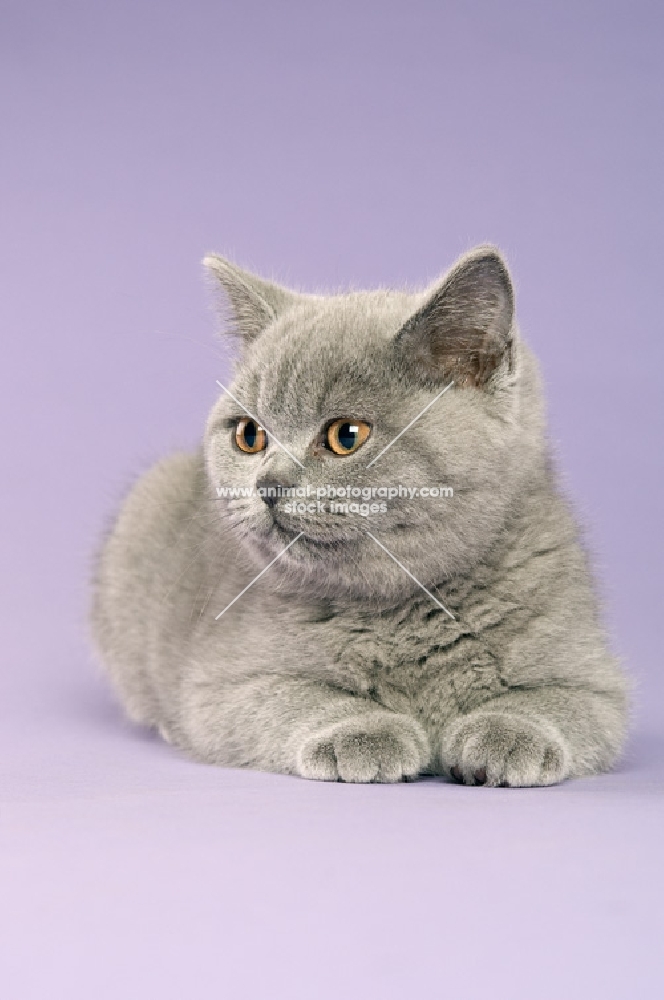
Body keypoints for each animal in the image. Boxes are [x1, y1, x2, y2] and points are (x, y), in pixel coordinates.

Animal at [92, 246, 628, 784]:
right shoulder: (221, 684)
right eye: (249, 435)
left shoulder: (597, 682)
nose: (268, 485)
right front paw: (364, 733)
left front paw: (507, 735)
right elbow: (295, 697)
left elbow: (557, 703)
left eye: (346, 436)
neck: (404, 610)